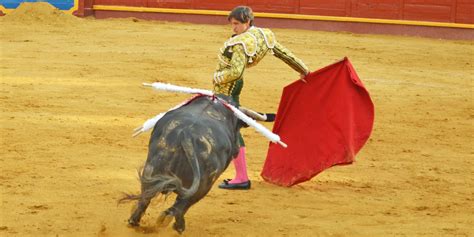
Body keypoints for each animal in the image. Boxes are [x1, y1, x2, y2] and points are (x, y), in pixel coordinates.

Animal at [121, 94, 262, 233]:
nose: (237, 148)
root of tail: (186, 136)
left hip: (151, 169)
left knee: (146, 197)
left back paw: (134, 221)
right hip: (203, 186)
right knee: (182, 204)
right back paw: (175, 224)